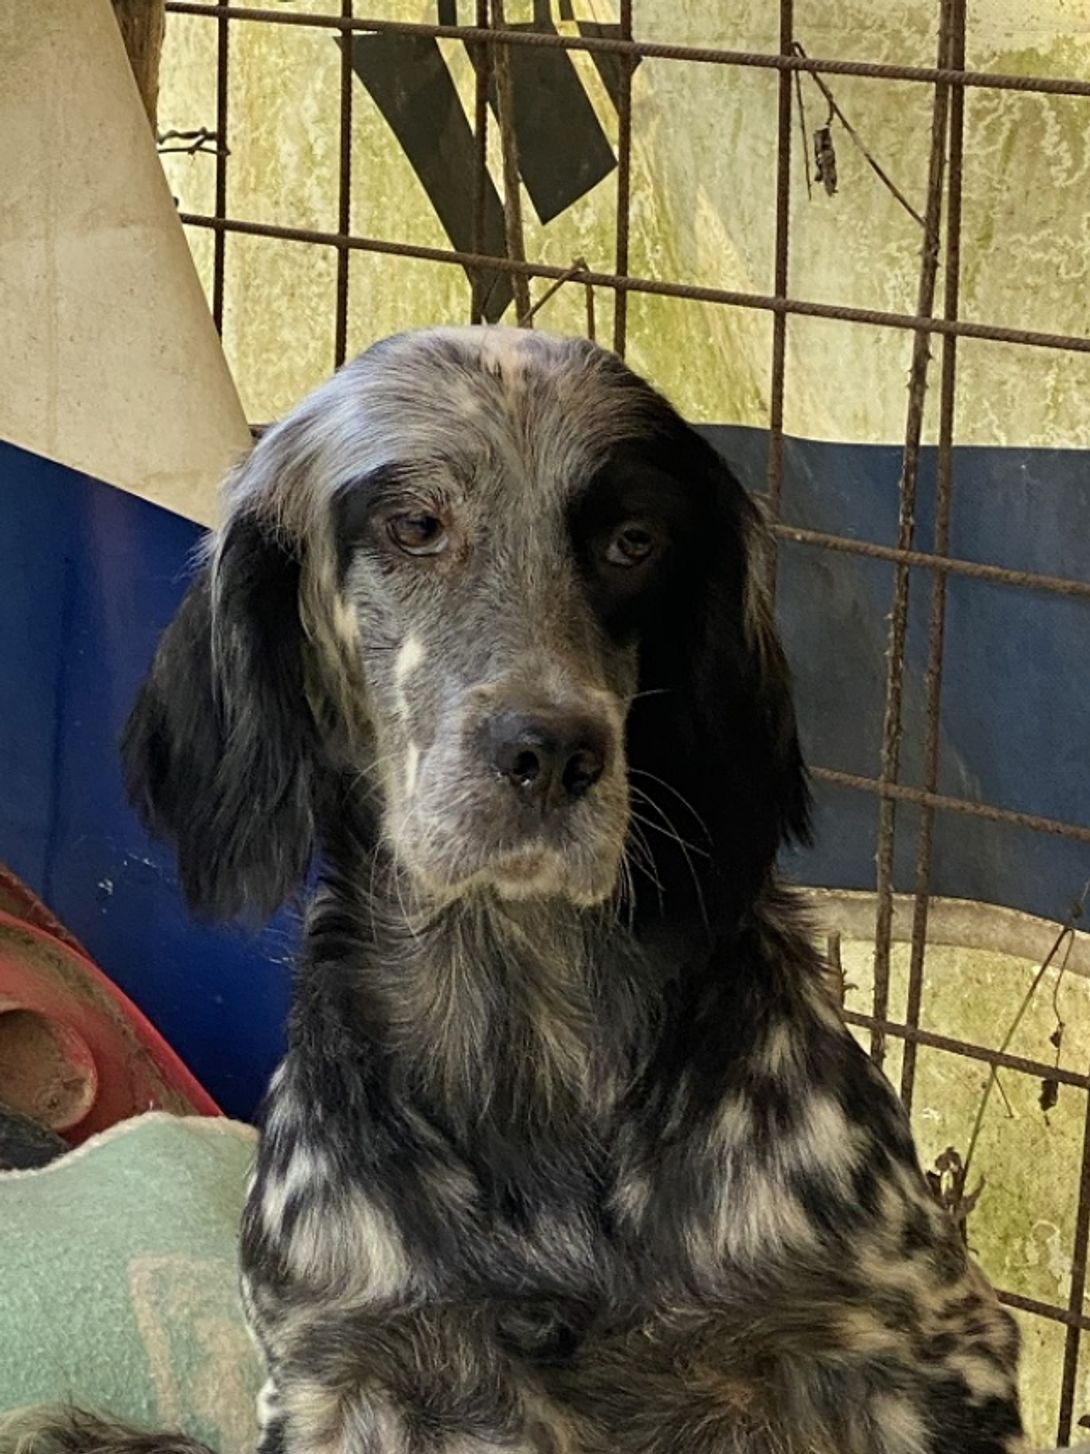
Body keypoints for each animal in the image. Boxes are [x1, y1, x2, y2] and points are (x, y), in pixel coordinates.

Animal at [8, 328, 1024, 1453]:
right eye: (415, 526)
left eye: (633, 540)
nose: (551, 752)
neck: (525, 1026)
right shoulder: (339, 1365)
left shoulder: (920, 1346)